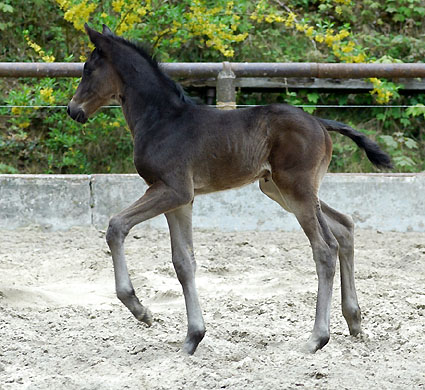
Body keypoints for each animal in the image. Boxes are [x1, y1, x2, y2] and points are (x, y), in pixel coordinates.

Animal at [68, 23, 392, 354]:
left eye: (87, 69)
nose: (73, 110)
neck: (162, 120)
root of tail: (319, 121)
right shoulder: (180, 199)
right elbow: (183, 262)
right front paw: (192, 338)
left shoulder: (173, 190)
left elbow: (116, 226)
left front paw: (140, 310)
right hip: (280, 189)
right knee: (344, 226)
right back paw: (354, 320)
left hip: (296, 189)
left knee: (325, 248)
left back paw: (317, 338)